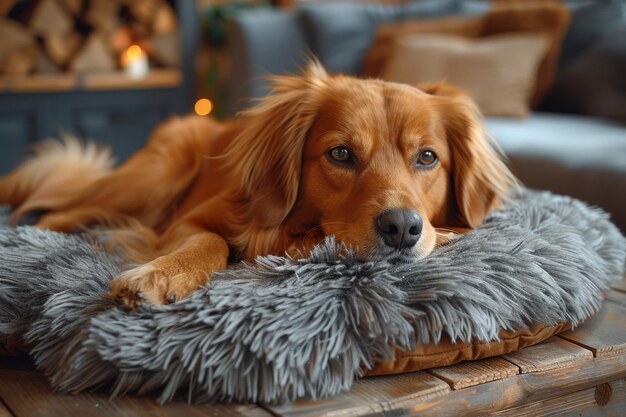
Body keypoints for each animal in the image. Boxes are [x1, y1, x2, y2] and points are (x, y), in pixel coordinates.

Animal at [0, 63, 516, 308]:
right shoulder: (189, 219)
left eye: (427, 157)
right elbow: (210, 242)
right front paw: (160, 274)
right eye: (341, 154)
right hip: (152, 178)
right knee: (57, 211)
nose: (403, 229)